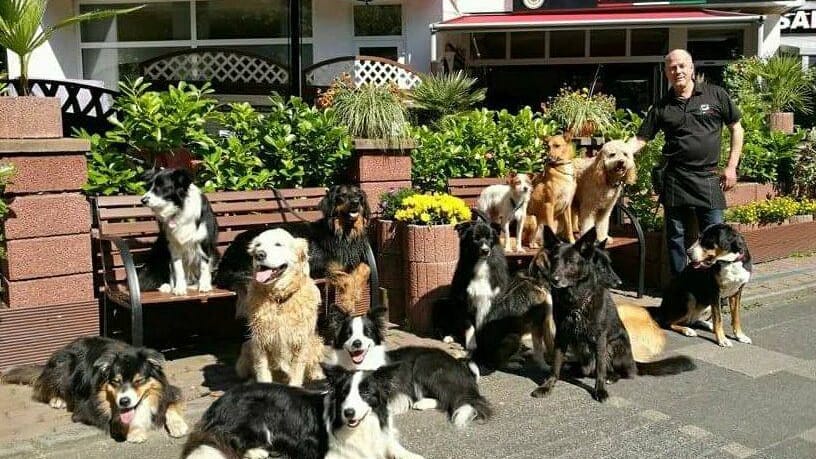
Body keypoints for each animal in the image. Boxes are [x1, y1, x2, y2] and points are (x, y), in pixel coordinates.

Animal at [182, 366, 424, 459]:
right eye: (344, 393)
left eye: (366, 392)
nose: (348, 413)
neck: (364, 427)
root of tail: (218, 403)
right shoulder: (333, 454)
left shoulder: (382, 436)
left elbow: (395, 446)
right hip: (257, 420)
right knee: (229, 440)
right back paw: (257, 452)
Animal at [234, 228, 324, 386]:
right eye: (258, 245)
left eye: (278, 244)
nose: (259, 254)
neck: (279, 300)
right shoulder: (260, 341)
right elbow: (262, 370)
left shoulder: (301, 341)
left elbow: (297, 370)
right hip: (246, 349)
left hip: (316, 342)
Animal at [324, 308, 490, 430]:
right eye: (348, 333)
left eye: (367, 332)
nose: (357, 343)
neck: (360, 364)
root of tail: (459, 363)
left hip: (424, 364)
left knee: (450, 399)